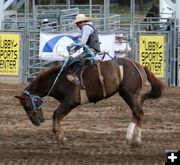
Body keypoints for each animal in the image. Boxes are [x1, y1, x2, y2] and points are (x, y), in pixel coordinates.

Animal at [15, 58, 165, 146]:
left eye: (26, 106)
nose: (37, 121)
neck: (59, 80)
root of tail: (140, 67)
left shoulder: (70, 101)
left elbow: (56, 114)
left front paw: (60, 137)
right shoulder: (67, 103)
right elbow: (58, 116)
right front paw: (60, 136)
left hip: (129, 93)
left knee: (138, 112)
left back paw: (134, 139)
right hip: (130, 95)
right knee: (137, 112)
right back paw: (133, 137)